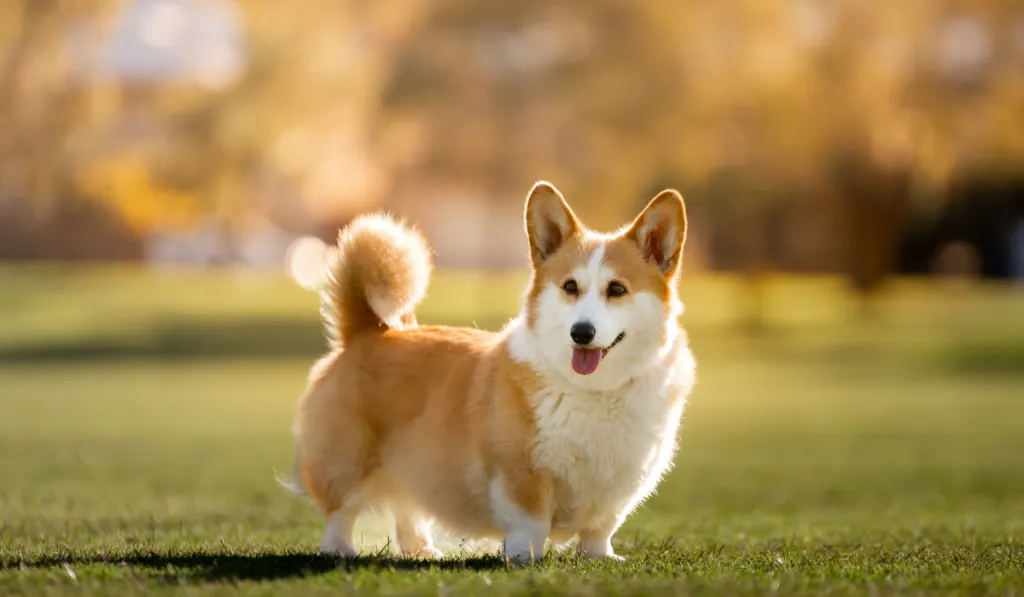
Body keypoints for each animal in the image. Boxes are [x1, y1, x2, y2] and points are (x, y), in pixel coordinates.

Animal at [288, 180, 696, 561]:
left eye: (616, 289)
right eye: (570, 287)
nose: (581, 333)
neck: (595, 392)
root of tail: (367, 330)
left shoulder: (621, 484)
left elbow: (601, 527)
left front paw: (599, 555)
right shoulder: (521, 471)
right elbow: (530, 522)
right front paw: (523, 557)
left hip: (411, 462)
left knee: (406, 506)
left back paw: (421, 549)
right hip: (347, 459)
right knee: (341, 510)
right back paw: (340, 549)